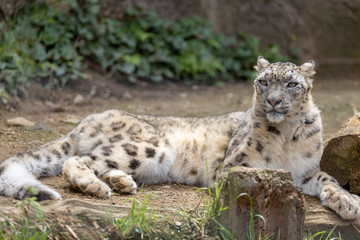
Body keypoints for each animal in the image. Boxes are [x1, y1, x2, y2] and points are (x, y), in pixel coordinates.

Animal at [0, 55, 360, 219]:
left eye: (291, 83)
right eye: (263, 81)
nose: (272, 101)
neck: (286, 136)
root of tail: (88, 120)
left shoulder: (307, 170)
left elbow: (327, 178)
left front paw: (348, 202)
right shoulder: (234, 167)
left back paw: (121, 183)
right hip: (145, 147)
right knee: (77, 160)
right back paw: (95, 186)